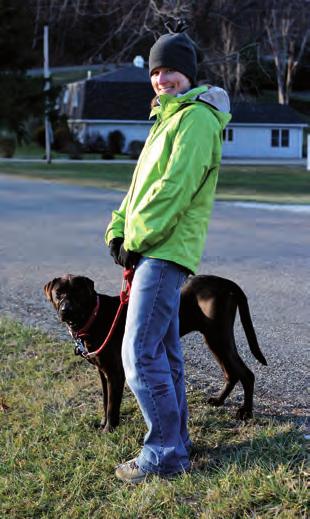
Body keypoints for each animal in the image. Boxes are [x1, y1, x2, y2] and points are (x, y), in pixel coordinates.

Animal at [43, 274, 266, 432]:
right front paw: (103, 424)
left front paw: (109, 429)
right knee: (231, 373)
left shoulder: (115, 373)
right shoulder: (102, 373)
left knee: (247, 374)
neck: (94, 316)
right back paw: (219, 401)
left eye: (77, 293)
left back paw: (246, 412)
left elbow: (112, 404)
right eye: (58, 294)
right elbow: (105, 401)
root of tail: (228, 283)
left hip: (218, 336)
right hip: (213, 339)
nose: (66, 310)